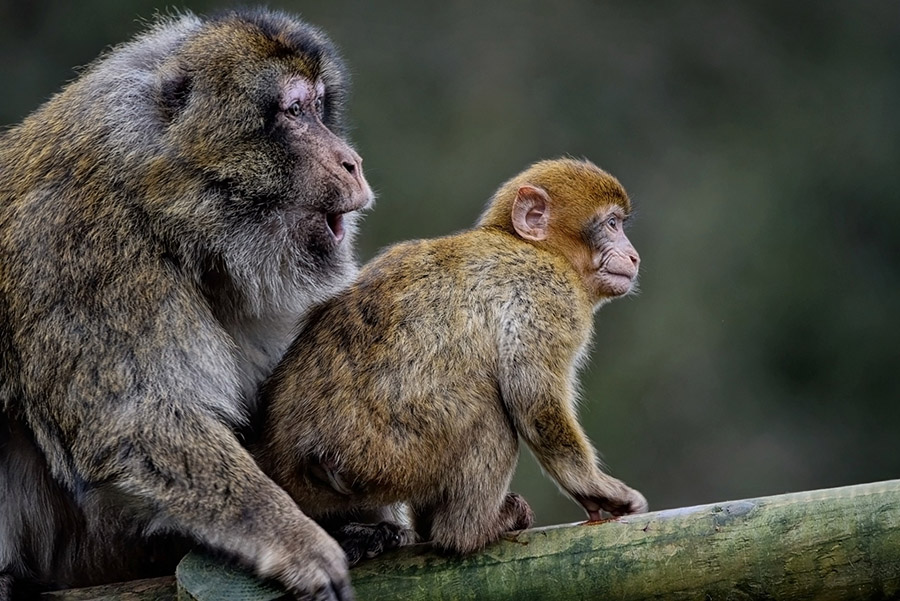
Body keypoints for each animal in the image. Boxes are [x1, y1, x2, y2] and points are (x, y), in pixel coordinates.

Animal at [0, 9, 374, 601]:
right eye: (294, 111)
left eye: (319, 107)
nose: (352, 162)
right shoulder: (76, 247)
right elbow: (136, 425)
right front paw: (291, 538)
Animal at [255, 158, 648, 557]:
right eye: (611, 224)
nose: (633, 255)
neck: (538, 248)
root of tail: (285, 460)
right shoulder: (551, 292)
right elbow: (534, 402)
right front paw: (597, 489)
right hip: (382, 457)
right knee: (490, 410)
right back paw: (468, 531)